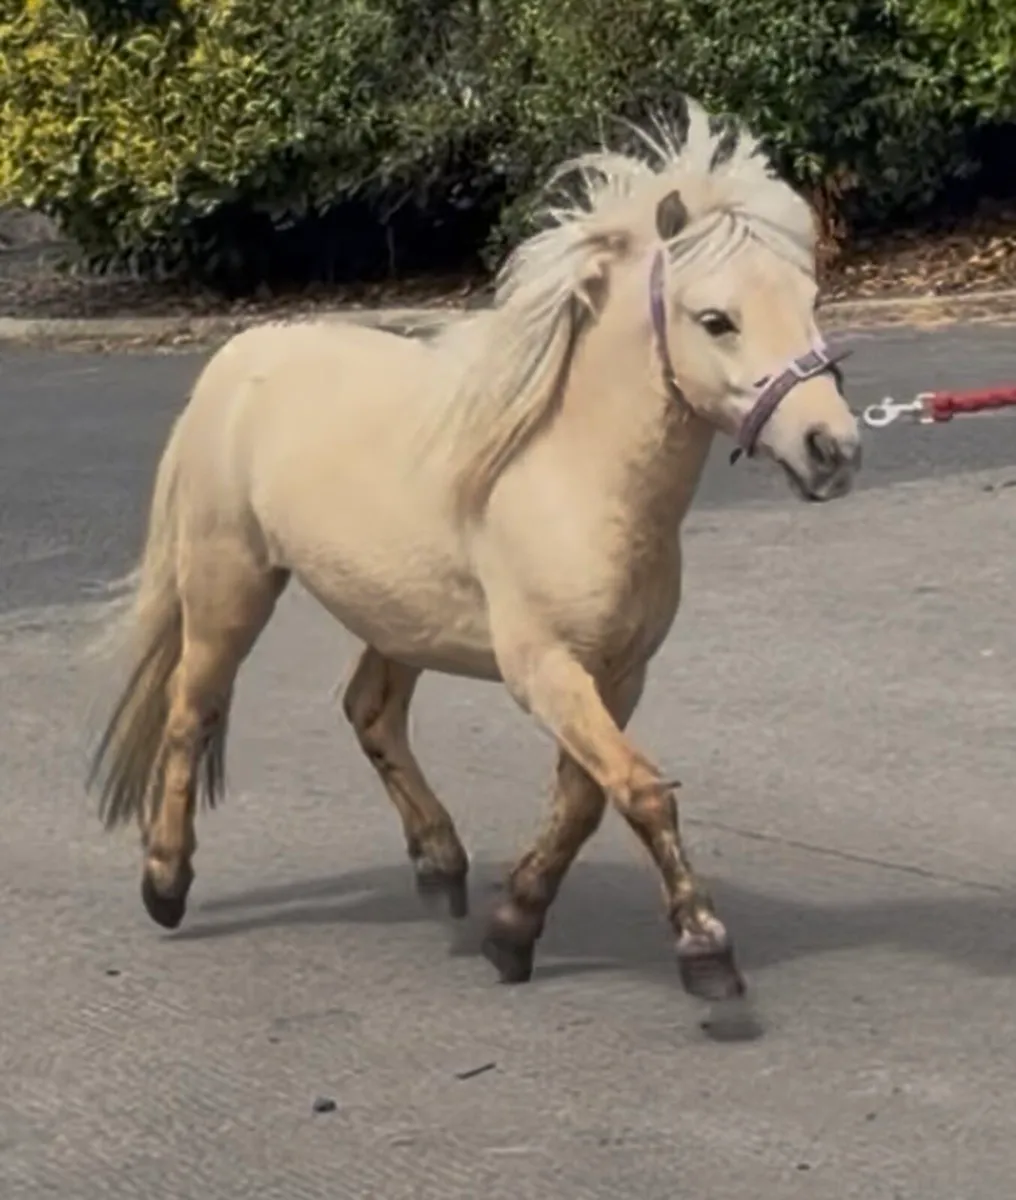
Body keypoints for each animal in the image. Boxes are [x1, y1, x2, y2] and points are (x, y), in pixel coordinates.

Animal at [87, 97, 861, 1004]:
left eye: (810, 299)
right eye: (717, 319)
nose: (832, 449)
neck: (569, 469)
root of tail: (241, 357)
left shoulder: (617, 676)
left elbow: (584, 801)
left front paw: (513, 928)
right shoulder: (547, 670)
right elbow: (640, 791)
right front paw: (705, 947)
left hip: (395, 614)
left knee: (370, 712)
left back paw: (440, 863)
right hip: (230, 582)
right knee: (191, 712)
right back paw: (166, 881)